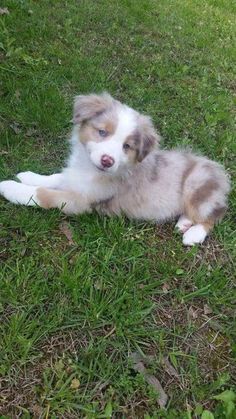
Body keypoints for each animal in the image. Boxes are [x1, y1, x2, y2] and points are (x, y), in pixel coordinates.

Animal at [0, 92, 230, 246]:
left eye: (126, 146)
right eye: (102, 132)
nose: (107, 160)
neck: (89, 170)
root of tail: (221, 172)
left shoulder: (80, 201)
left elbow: (43, 194)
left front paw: (10, 188)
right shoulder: (75, 178)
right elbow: (55, 177)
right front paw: (28, 175)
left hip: (196, 185)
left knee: (215, 215)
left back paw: (193, 234)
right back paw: (183, 223)